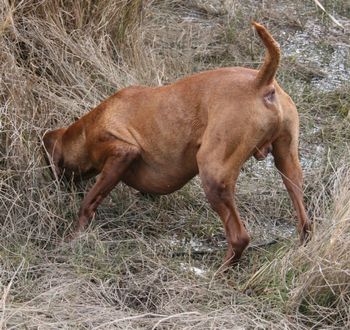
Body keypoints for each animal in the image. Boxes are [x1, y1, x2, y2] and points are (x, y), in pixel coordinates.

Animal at [44, 22, 312, 266]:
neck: (86, 128)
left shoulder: (122, 152)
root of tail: (261, 82)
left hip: (213, 175)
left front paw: (73, 237)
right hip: (288, 166)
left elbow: (89, 202)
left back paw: (218, 271)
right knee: (305, 222)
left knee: (239, 237)